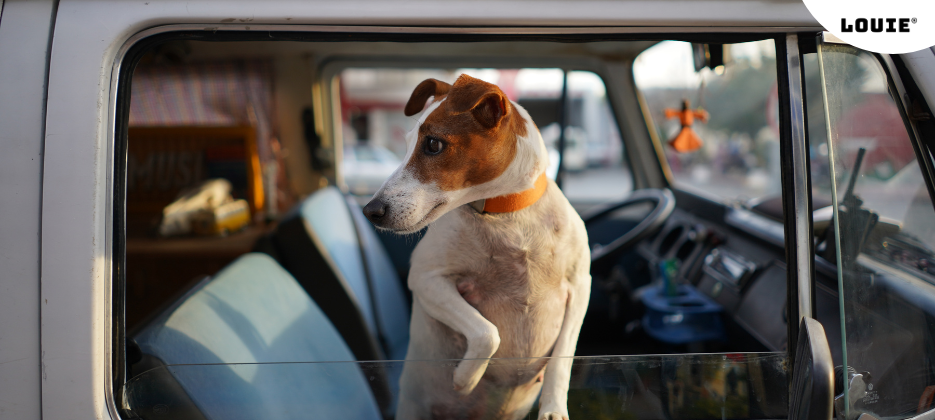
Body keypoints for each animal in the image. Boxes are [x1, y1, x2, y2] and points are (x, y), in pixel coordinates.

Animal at [362, 74, 588, 418]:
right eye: (407, 143)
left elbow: (563, 357)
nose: (370, 210)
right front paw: (466, 378)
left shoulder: (579, 286)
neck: (506, 216)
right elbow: (487, 333)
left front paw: (553, 408)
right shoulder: (426, 280)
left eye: (433, 144)